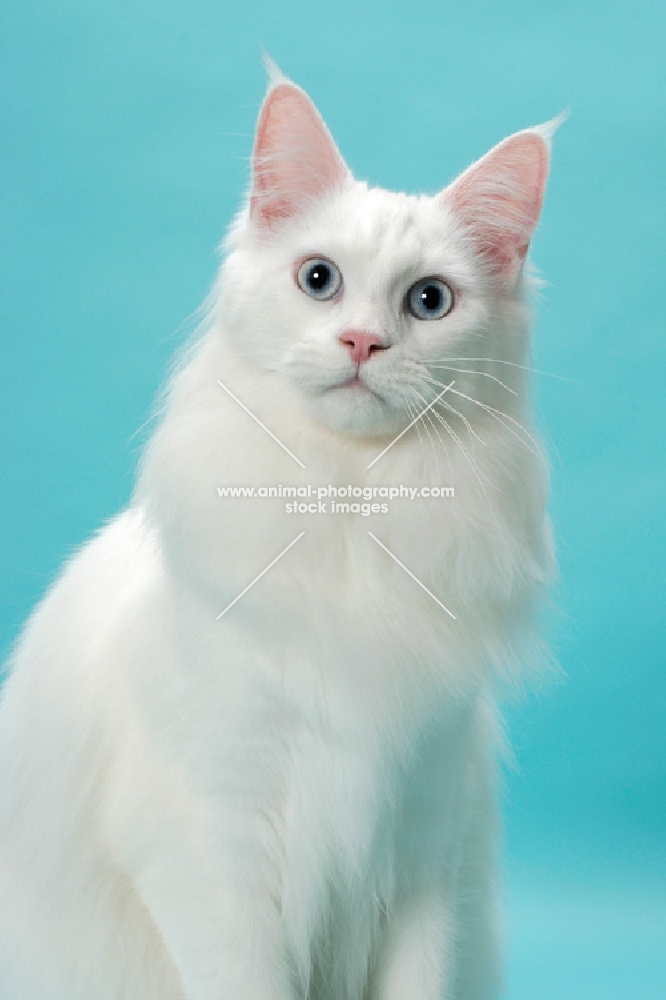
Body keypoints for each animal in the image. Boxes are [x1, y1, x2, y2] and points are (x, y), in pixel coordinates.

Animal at [0, 64, 556, 1000]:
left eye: (429, 301)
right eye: (319, 279)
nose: (363, 341)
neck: (351, 506)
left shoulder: (424, 848)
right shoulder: (209, 854)